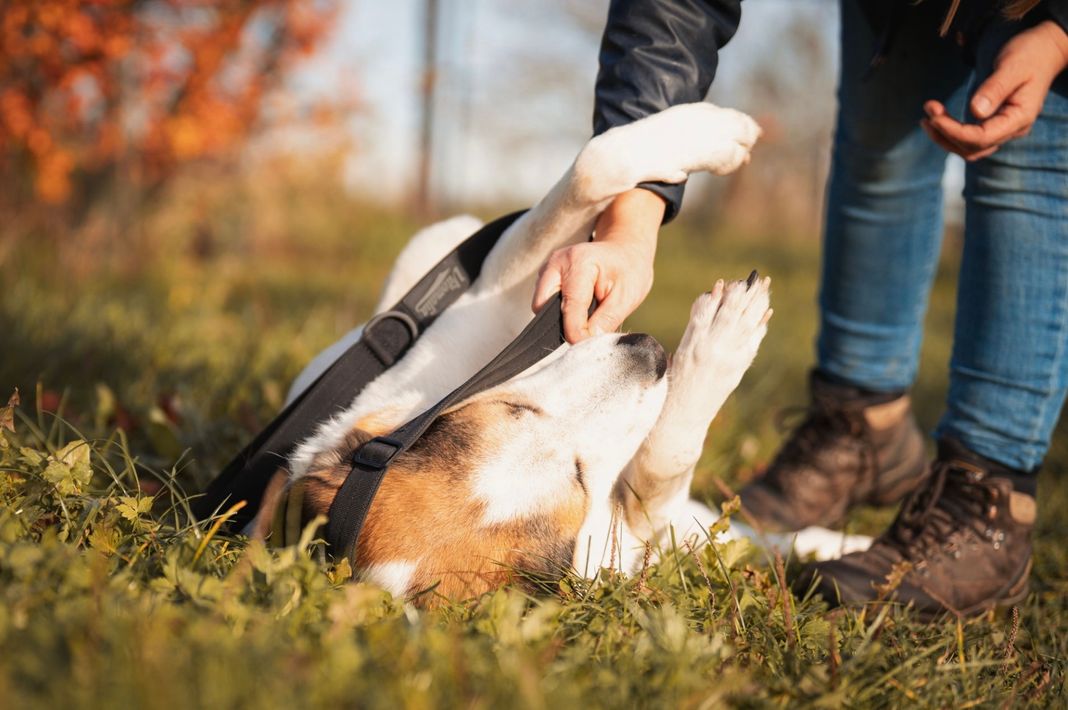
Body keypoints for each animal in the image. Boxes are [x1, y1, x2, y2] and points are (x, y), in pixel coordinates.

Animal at [251, 103, 871, 602]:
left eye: (513, 409)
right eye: (578, 482)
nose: (648, 350)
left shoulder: (496, 293)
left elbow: (593, 162)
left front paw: (715, 131)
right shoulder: (629, 539)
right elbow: (666, 464)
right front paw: (724, 337)